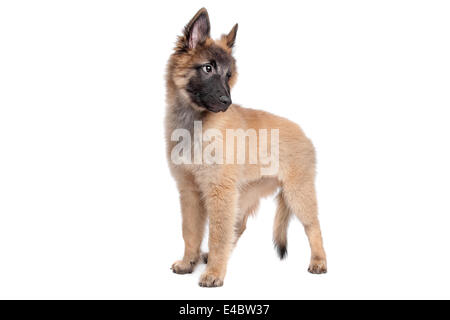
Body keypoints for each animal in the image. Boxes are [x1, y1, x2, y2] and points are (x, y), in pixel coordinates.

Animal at [165, 7, 326, 288]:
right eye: (208, 68)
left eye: (229, 75)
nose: (227, 102)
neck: (194, 121)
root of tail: (305, 135)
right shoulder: (190, 191)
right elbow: (191, 231)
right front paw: (189, 262)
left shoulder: (219, 192)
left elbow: (217, 235)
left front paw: (214, 274)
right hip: (244, 193)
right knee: (237, 227)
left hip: (297, 193)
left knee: (313, 225)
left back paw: (318, 261)